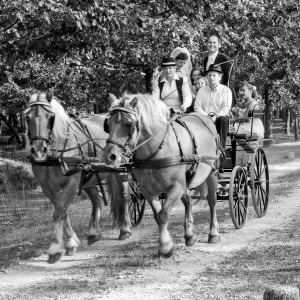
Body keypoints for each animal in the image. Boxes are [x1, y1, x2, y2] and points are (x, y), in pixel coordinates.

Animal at [23, 91, 131, 262]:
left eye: (51, 117)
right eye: (27, 117)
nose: (39, 150)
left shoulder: (72, 182)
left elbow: (59, 211)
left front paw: (55, 248)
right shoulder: (47, 186)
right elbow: (62, 211)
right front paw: (71, 243)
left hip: (121, 171)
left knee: (125, 196)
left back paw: (125, 230)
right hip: (89, 177)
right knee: (96, 199)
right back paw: (94, 233)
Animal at [103, 94, 220, 258]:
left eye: (129, 123)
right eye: (107, 124)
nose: (110, 156)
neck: (156, 151)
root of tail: (207, 118)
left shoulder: (176, 187)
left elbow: (163, 215)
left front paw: (165, 247)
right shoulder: (148, 191)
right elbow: (157, 216)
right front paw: (166, 244)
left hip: (212, 173)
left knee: (212, 201)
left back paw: (213, 233)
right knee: (188, 201)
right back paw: (190, 235)